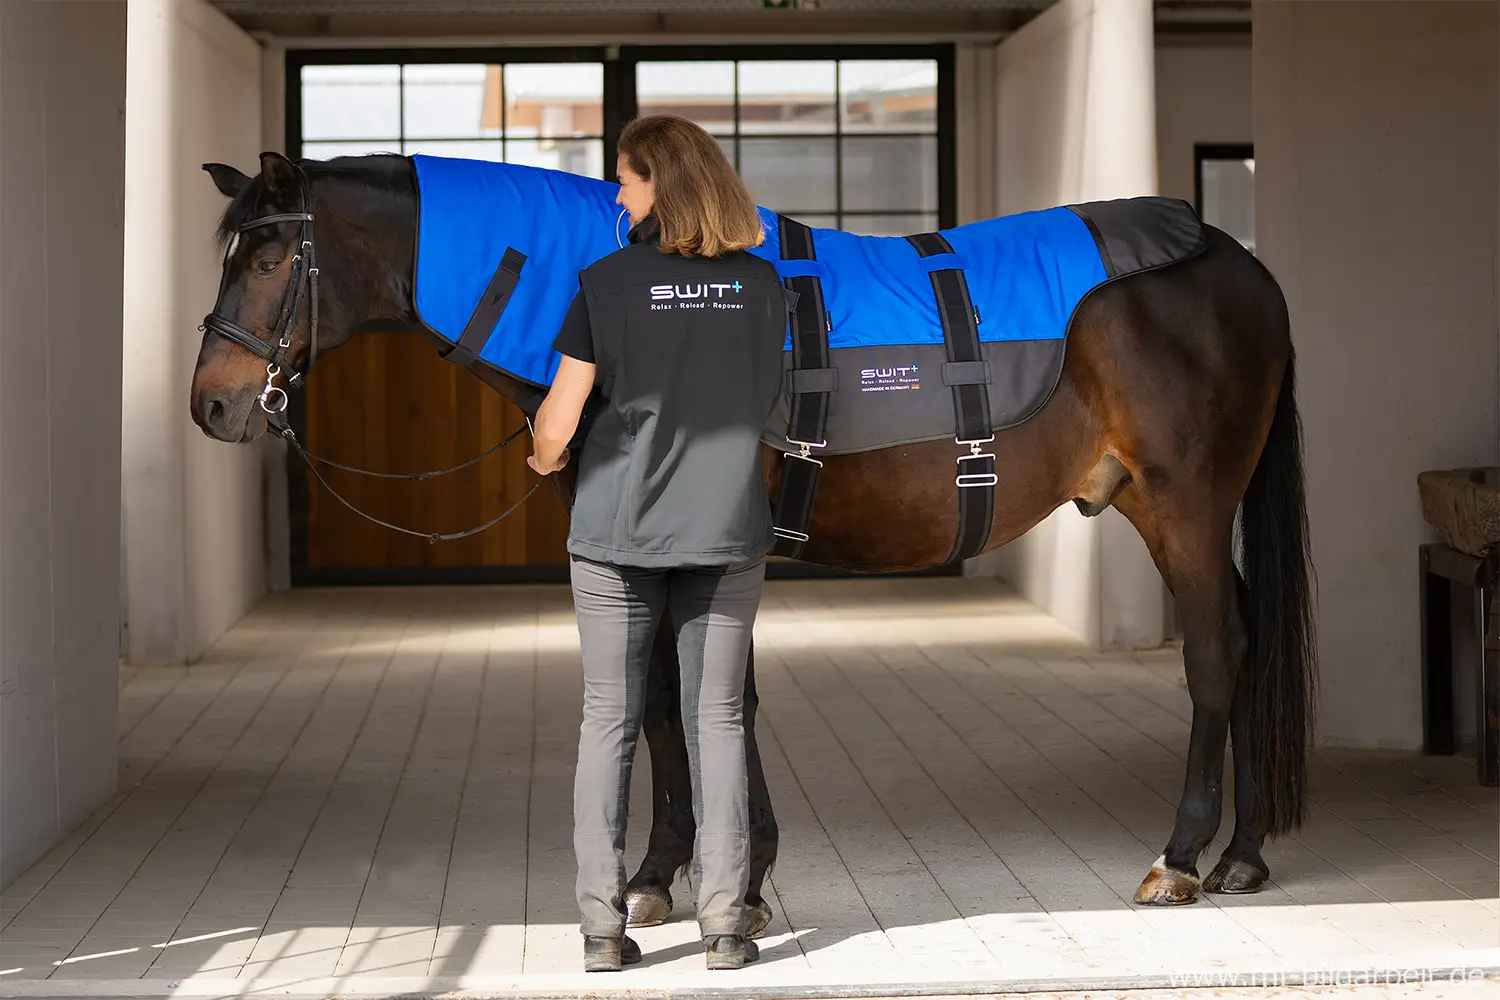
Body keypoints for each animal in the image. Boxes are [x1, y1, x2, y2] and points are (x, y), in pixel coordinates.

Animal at [188, 150, 1315, 925]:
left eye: (273, 254)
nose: (212, 404)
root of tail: (1239, 264)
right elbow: (664, 699)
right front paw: (665, 875)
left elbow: (700, 695)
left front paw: (724, 879)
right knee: (1248, 642)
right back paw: (1245, 854)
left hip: (1184, 509)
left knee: (1215, 655)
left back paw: (1181, 856)